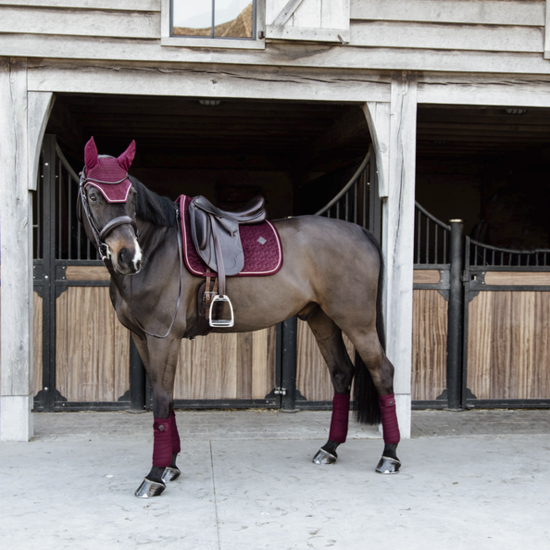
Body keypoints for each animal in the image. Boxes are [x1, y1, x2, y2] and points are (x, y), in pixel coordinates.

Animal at [77, 138, 404, 500]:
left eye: (131, 194)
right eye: (93, 195)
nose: (128, 256)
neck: (159, 248)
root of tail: (360, 231)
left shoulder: (163, 338)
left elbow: (162, 400)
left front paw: (155, 475)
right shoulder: (142, 338)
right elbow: (167, 399)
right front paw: (170, 466)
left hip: (357, 323)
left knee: (382, 372)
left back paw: (389, 456)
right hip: (322, 320)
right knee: (342, 373)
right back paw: (330, 448)